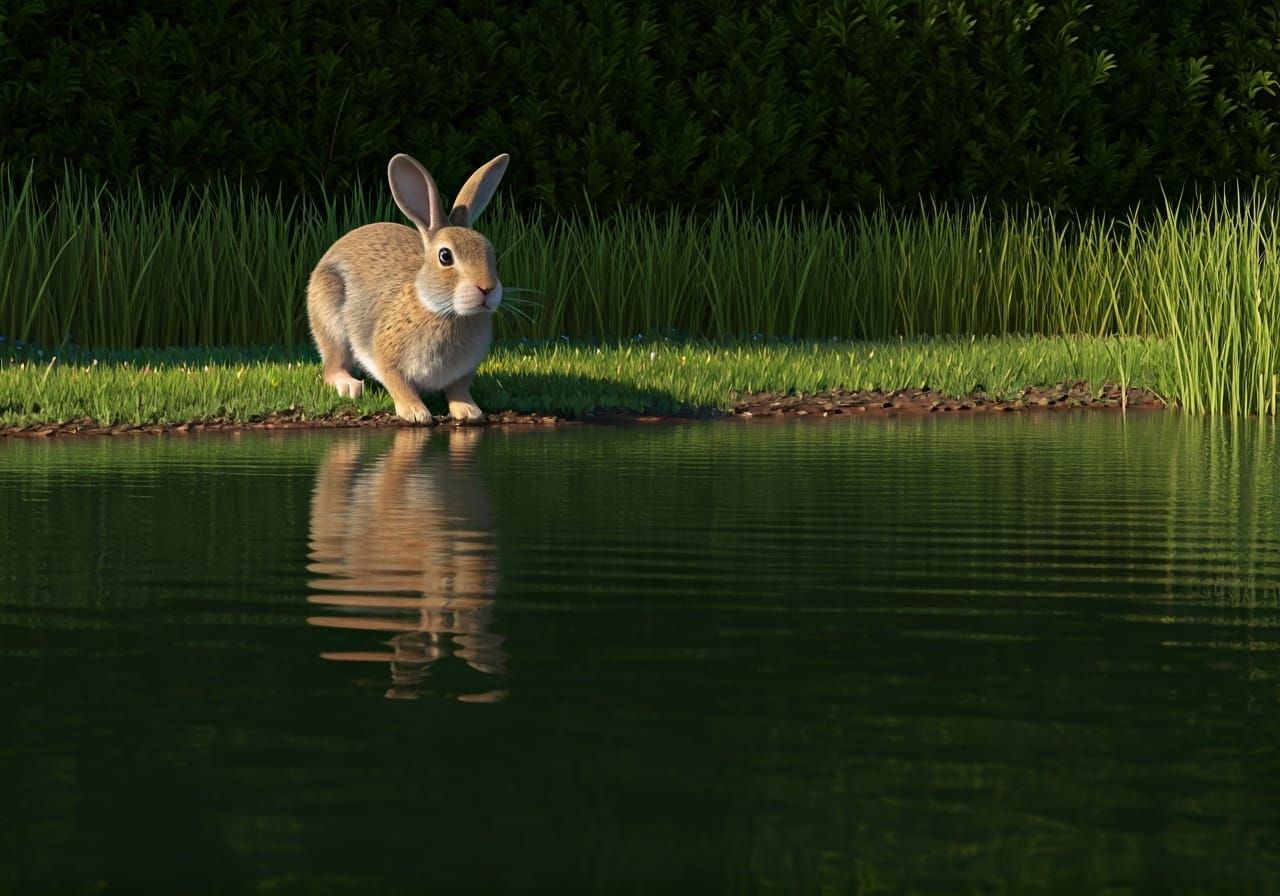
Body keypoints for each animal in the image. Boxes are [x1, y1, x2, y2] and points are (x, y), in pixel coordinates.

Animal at [307, 152, 510, 422]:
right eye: (445, 256)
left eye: (490, 252)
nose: (487, 289)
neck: (443, 311)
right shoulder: (386, 359)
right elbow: (399, 385)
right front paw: (416, 413)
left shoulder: (463, 372)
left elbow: (458, 390)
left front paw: (469, 411)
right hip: (331, 324)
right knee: (332, 366)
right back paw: (349, 385)